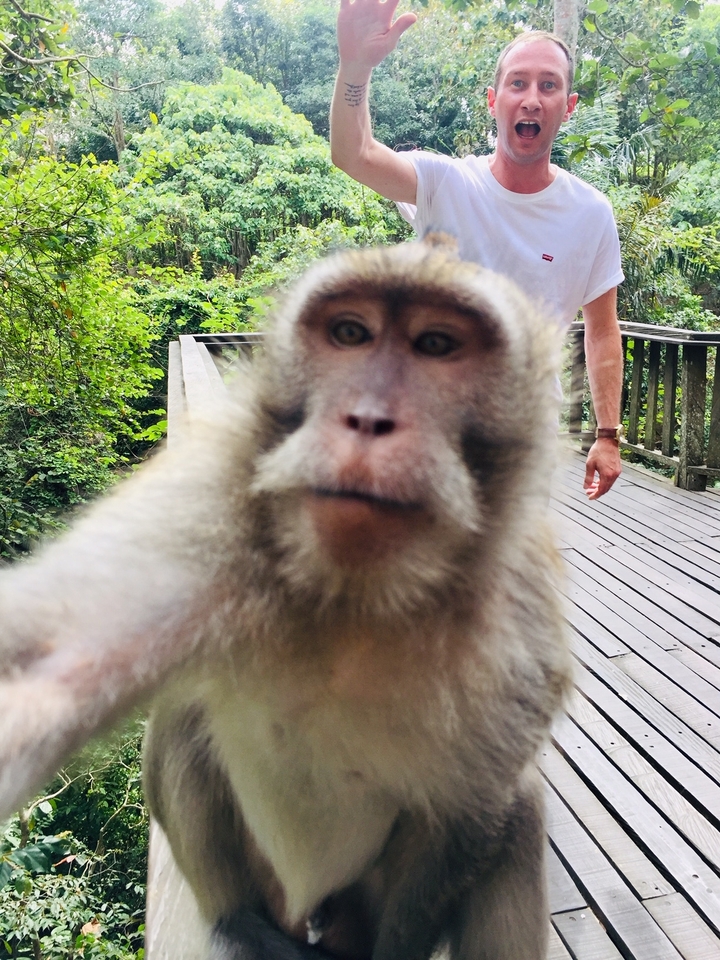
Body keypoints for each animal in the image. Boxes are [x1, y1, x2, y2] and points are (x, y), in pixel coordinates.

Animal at [0, 236, 570, 960]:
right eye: (350, 334)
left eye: (436, 344)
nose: (366, 419)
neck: (356, 596)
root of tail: (302, 909)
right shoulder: (208, 511)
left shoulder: (522, 627)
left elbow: (471, 816)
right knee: (184, 714)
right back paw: (237, 920)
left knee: (518, 812)